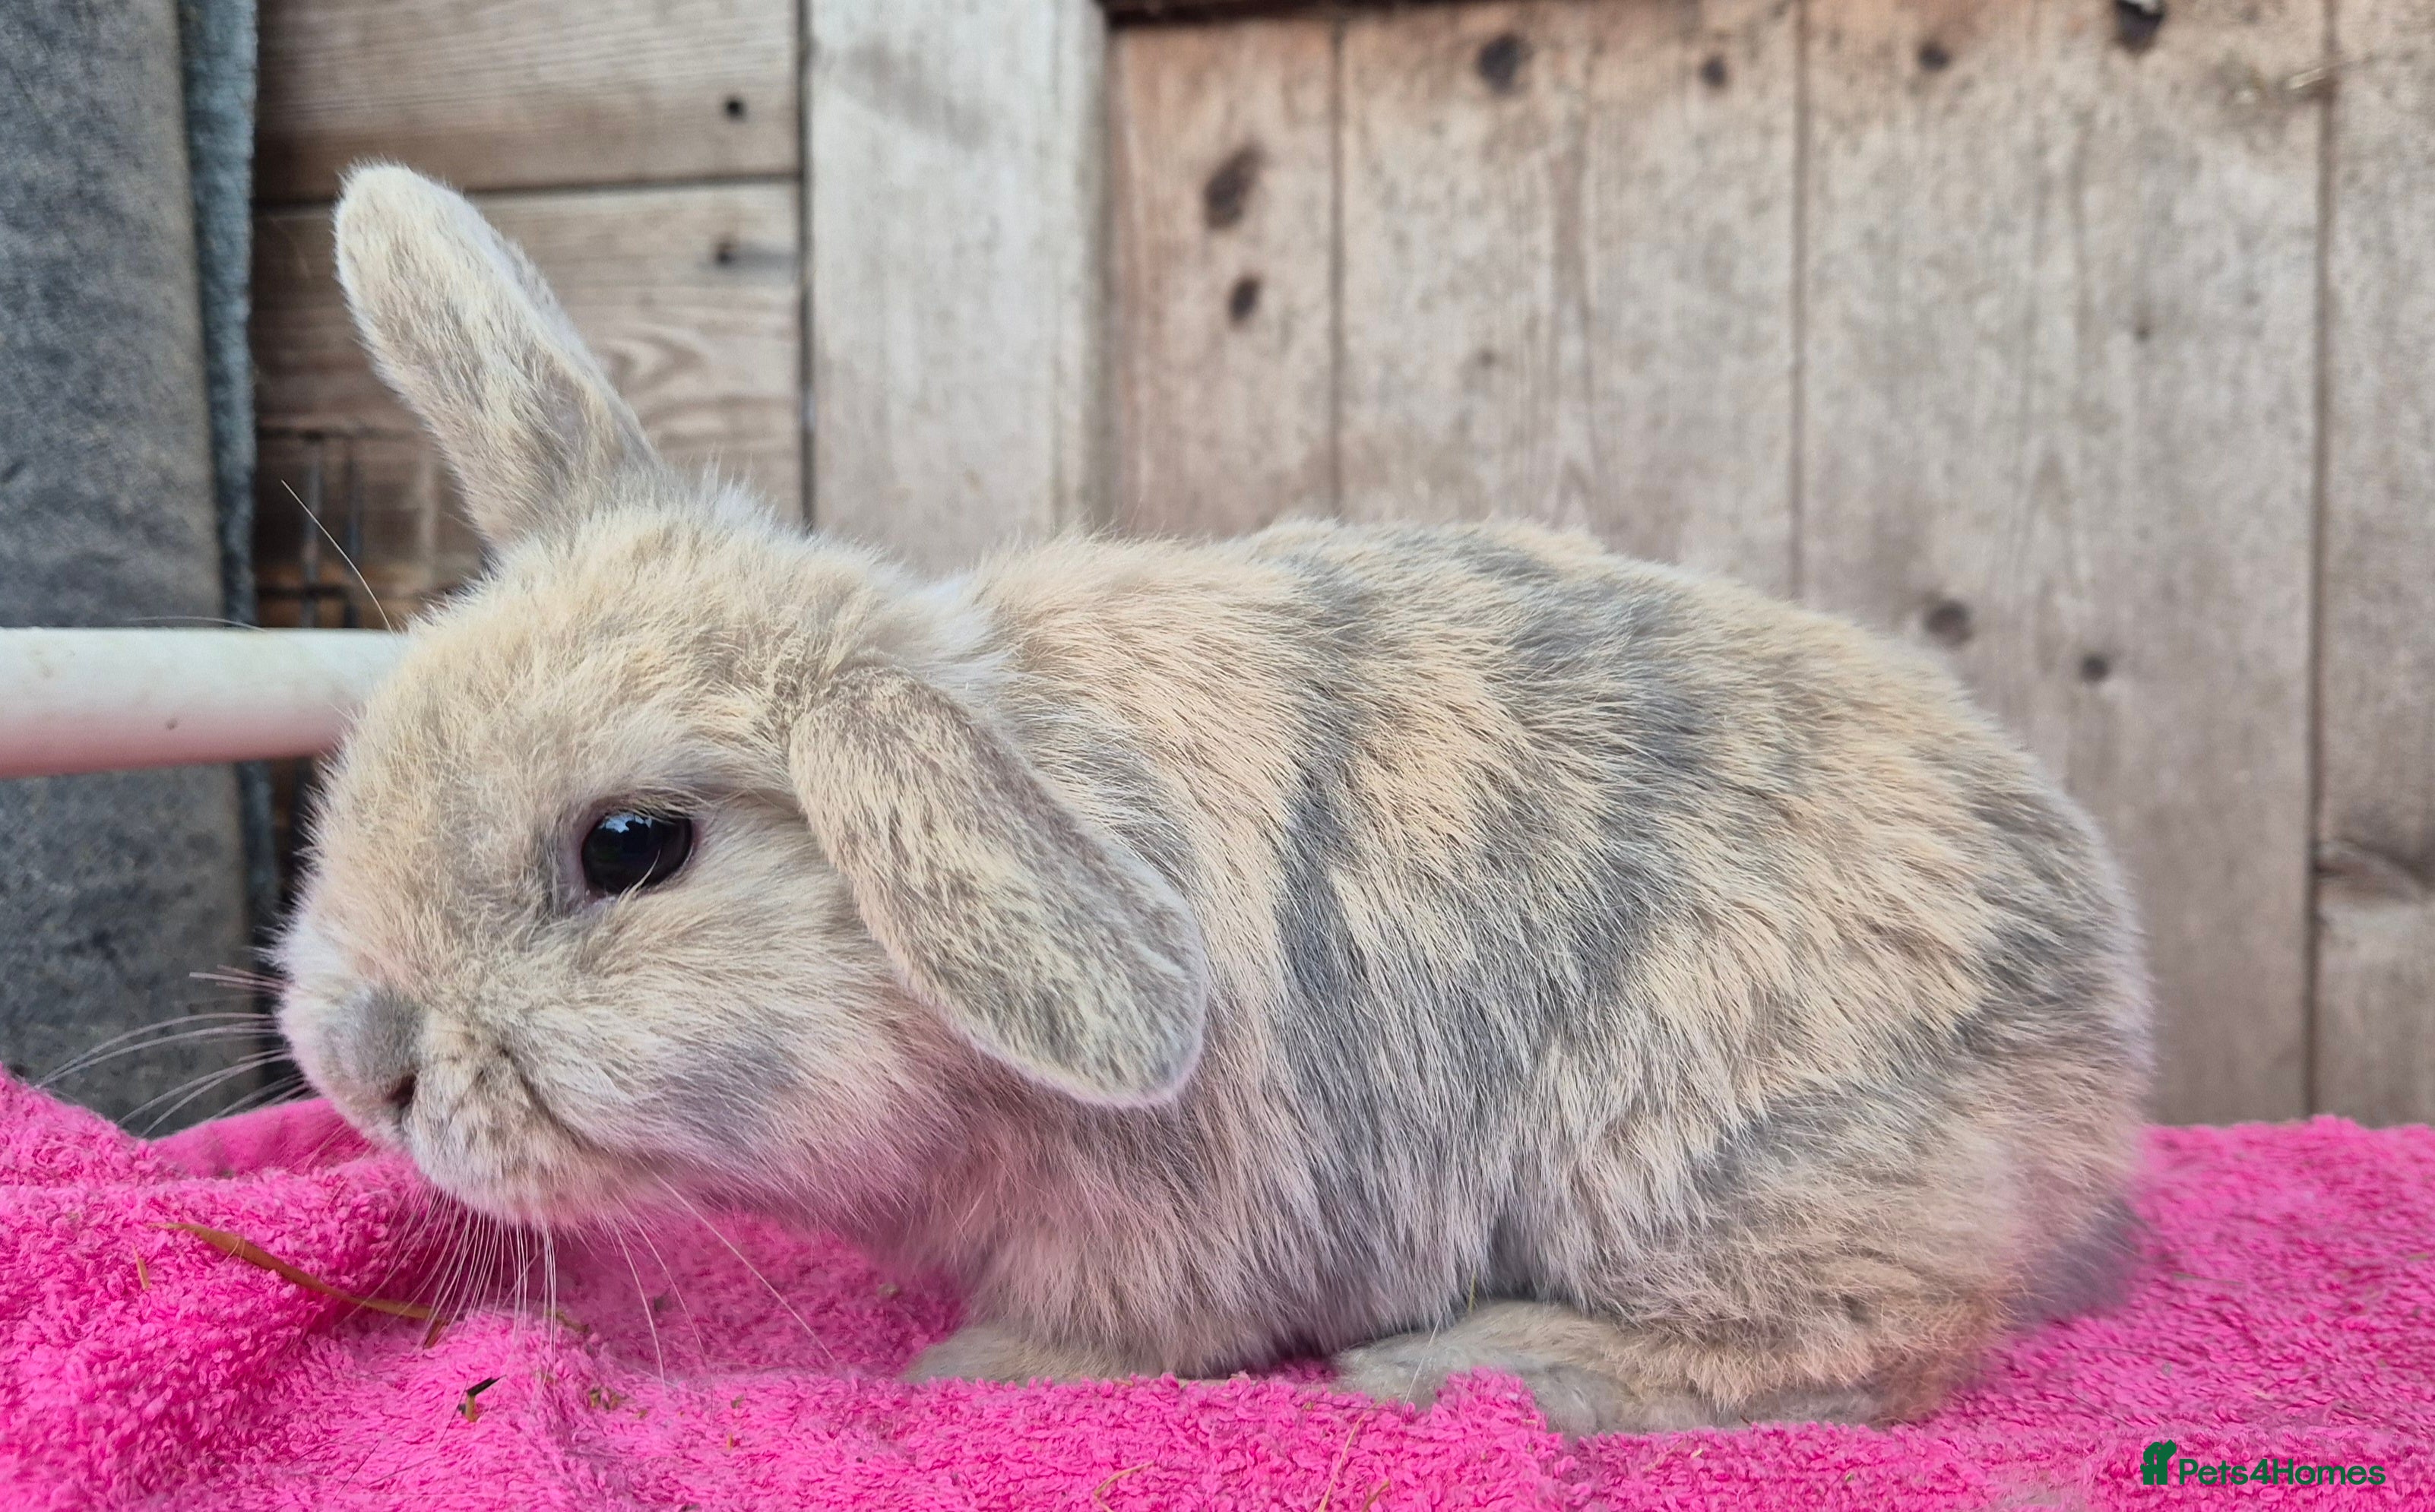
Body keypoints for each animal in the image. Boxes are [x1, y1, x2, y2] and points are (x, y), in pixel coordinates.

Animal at [276, 164, 2151, 1437]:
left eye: (629, 846)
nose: (359, 1067)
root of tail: (2100, 1040)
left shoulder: (1166, 1223)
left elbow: (1114, 1334)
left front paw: (969, 1365)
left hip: (1715, 1159)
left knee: (1880, 1339)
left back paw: (1465, 1363)